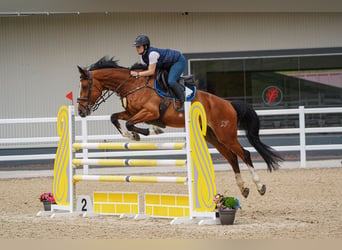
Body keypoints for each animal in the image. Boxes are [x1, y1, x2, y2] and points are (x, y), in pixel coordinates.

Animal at [77, 56, 284, 197]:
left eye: (85, 86)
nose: (81, 112)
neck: (132, 84)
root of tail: (228, 104)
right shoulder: (131, 112)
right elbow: (115, 118)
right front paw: (133, 136)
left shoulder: (149, 112)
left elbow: (130, 122)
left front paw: (149, 131)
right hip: (212, 136)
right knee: (232, 157)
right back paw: (244, 188)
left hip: (226, 134)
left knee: (244, 154)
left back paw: (260, 186)